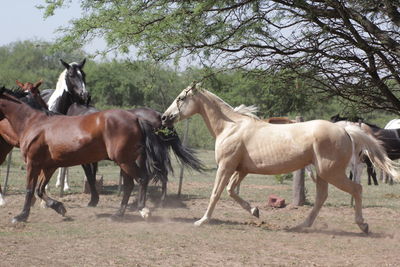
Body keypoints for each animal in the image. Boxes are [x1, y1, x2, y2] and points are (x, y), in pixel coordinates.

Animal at [0, 87, 168, 223]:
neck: (33, 123)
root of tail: (137, 119)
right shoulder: (49, 166)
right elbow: (39, 190)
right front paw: (60, 207)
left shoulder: (33, 163)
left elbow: (30, 190)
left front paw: (21, 216)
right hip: (126, 161)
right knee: (129, 185)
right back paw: (118, 214)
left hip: (124, 161)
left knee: (141, 179)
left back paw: (143, 210)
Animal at [161, 82, 398, 233]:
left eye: (181, 98)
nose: (164, 117)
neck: (230, 127)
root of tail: (346, 129)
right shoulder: (241, 170)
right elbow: (231, 191)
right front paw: (255, 211)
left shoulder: (226, 167)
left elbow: (216, 193)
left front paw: (202, 221)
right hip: (322, 173)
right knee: (322, 197)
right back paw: (301, 226)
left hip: (331, 172)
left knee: (356, 189)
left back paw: (363, 225)